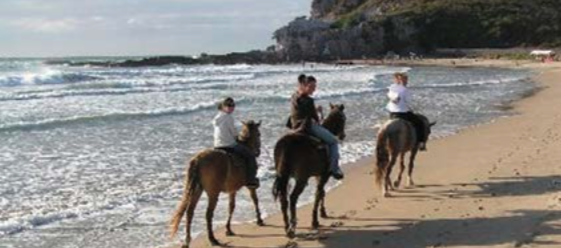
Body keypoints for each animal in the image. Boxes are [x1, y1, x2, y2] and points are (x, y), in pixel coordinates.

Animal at [272, 103, 346, 238]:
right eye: (343, 118)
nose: (343, 135)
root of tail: (287, 144)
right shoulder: (324, 175)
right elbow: (318, 193)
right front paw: (315, 220)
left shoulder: (318, 175)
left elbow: (321, 192)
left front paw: (322, 212)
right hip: (301, 179)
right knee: (293, 198)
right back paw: (293, 226)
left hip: (284, 176)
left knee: (284, 200)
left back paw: (287, 227)